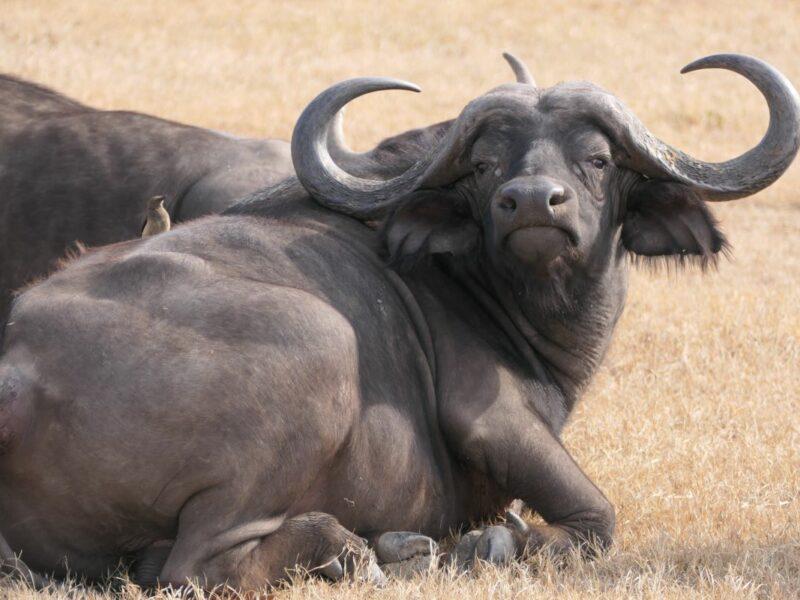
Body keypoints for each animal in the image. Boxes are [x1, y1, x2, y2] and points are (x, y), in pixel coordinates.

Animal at [0, 53, 797, 590]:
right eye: (485, 164)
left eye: (597, 159)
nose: (531, 202)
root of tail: (19, 370)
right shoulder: (491, 418)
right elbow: (597, 519)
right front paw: (491, 544)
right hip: (320, 339)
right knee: (195, 567)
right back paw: (357, 549)